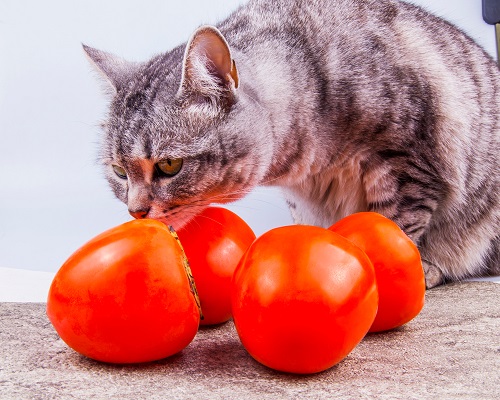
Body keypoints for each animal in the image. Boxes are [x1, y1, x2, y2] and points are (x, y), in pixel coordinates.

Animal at [84, 0, 498, 290]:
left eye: (169, 166)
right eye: (119, 171)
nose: (136, 211)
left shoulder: (405, 163)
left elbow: (394, 229)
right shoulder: (305, 200)